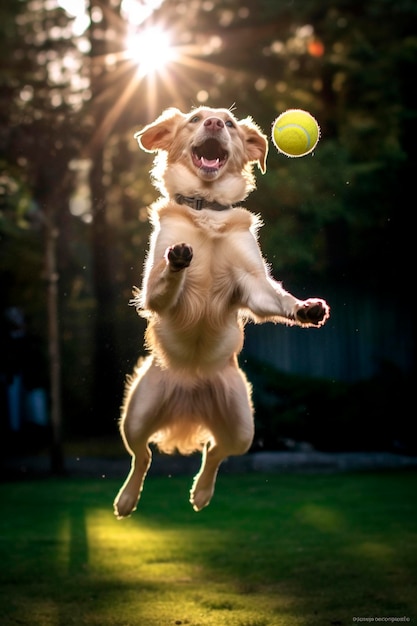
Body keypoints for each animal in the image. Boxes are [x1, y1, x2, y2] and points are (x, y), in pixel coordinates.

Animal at [113, 107, 328, 516]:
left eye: (228, 123)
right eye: (196, 118)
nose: (213, 123)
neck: (207, 210)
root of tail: (191, 395)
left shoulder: (251, 283)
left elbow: (276, 297)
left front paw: (305, 309)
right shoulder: (154, 293)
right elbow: (166, 280)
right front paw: (178, 260)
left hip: (243, 426)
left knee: (215, 452)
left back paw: (201, 492)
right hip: (136, 415)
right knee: (142, 455)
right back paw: (128, 499)